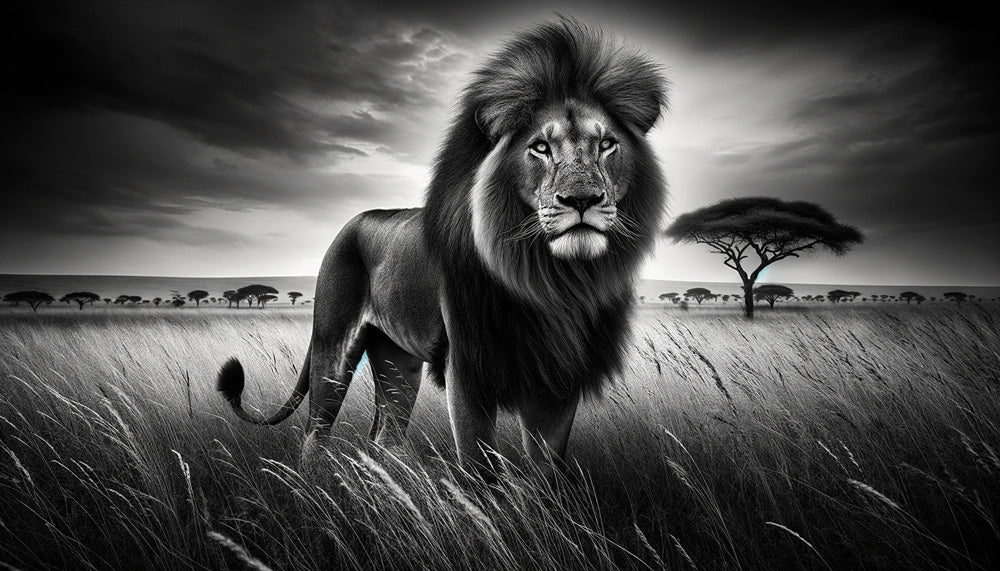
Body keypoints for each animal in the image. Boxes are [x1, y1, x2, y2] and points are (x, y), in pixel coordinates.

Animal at [217, 18, 668, 481]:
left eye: (607, 144)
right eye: (540, 147)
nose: (582, 200)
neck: (552, 278)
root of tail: (351, 222)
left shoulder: (558, 375)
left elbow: (548, 469)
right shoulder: (467, 367)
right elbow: (479, 465)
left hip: (396, 359)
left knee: (385, 435)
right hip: (332, 343)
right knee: (313, 436)